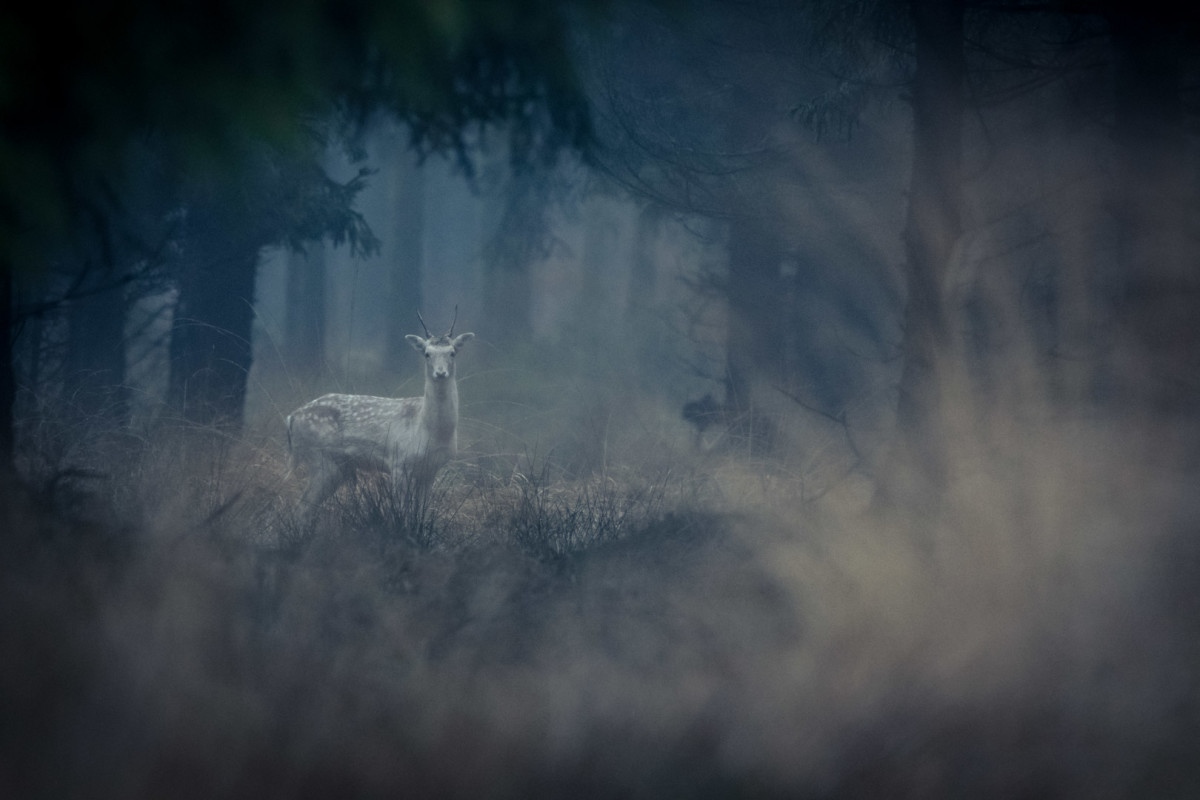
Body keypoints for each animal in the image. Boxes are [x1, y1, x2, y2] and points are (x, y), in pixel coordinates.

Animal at [286, 310, 474, 522]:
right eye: (427, 353)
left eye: (452, 352)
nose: (440, 373)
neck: (429, 430)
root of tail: (291, 418)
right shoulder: (399, 462)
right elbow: (402, 511)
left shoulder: (431, 470)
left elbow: (421, 512)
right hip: (321, 457)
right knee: (300, 509)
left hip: (338, 466)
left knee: (304, 509)